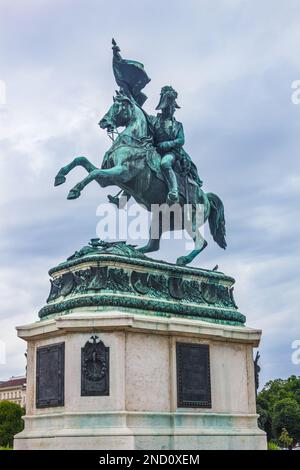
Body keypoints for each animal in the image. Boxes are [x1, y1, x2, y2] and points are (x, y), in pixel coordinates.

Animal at [54, 93, 227, 266]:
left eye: (118, 106)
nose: (103, 121)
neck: (132, 143)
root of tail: (206, 197)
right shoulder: (108, 180)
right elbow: (82, 160)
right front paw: (60, 176)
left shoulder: (122, 172)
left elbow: (94, 172)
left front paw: (74, 190)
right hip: (160, 220)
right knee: (153, 246)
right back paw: (129, 250)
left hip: (189, 219)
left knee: (201, 242)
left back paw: (182, 259)